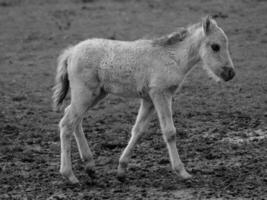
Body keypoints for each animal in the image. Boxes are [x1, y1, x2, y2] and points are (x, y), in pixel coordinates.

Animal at [52, 16, 237, 184]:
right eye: (215, 46)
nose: (230, 73)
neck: (172, 57)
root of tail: (71, 52)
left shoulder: (149, 99)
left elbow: (138, 130)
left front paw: (121, 170)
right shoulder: (160, 94)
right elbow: (169, 132)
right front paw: (182, 172)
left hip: (96, 94)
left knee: (74, 118)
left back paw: (90, 165)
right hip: (84, 93)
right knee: (67, 123)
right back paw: (69, 175)